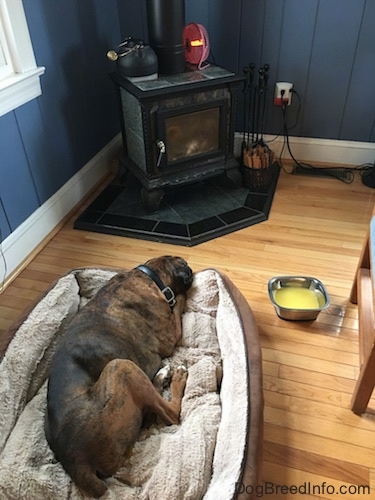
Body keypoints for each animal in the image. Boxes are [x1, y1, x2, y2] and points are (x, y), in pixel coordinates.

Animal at [44, 256, 194, 498]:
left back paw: (162, 376)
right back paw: (177, 377)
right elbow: (178, 307)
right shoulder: (171, 336)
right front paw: (180, 298)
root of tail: (75, 463)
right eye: (183, 263)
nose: (190, 269)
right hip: (120, 367)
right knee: (169, 415)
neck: (148, 275)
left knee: (151, 411)